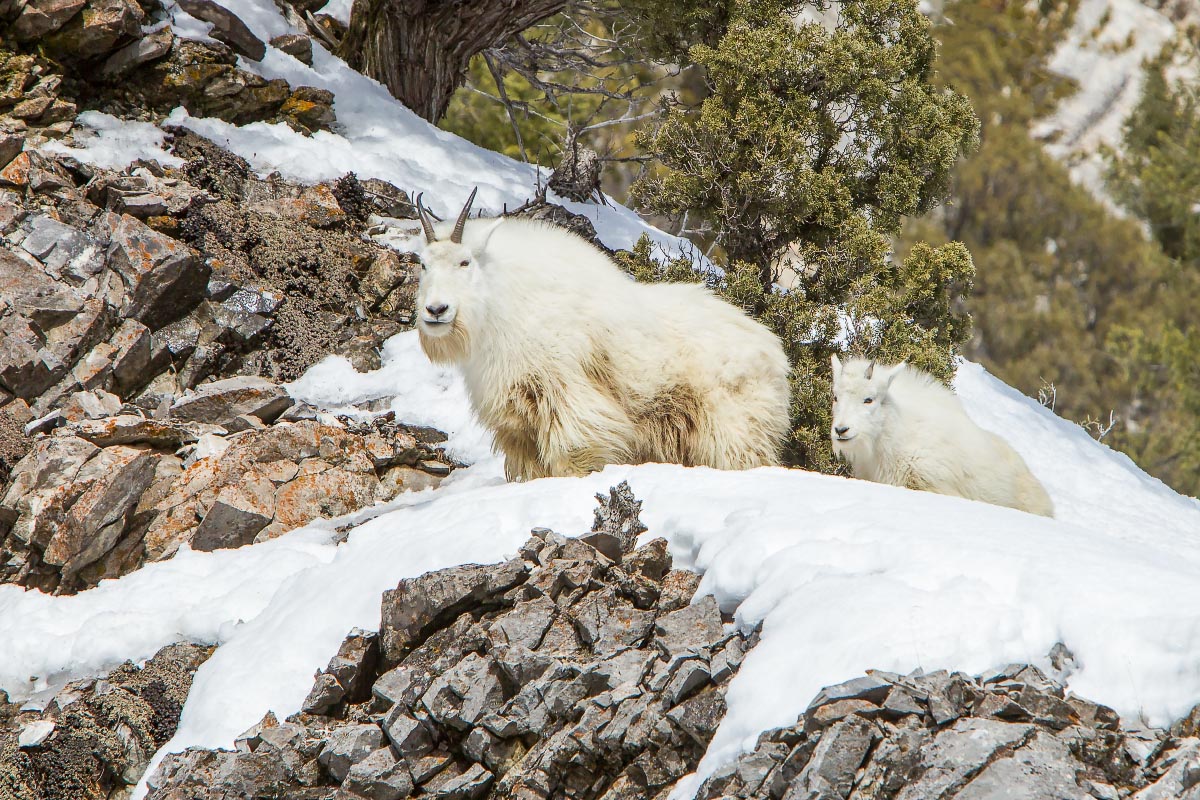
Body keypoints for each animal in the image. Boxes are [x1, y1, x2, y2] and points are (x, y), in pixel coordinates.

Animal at [417, 189, 792, 482]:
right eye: (423, 264)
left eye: (465, 262)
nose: (436, 310)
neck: (500, 308)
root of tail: (775, 355)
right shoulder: (517, 421)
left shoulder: (568, 396)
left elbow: (574, 452)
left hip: (734, 431)